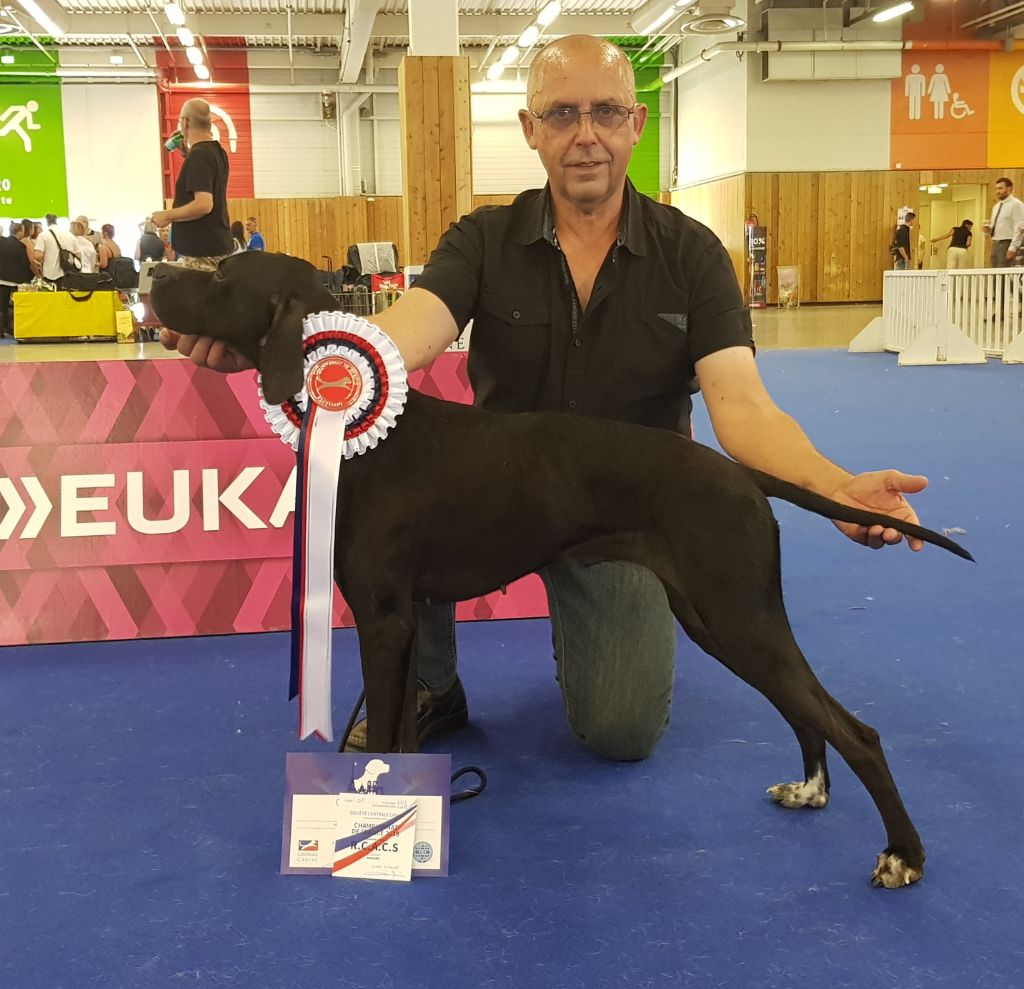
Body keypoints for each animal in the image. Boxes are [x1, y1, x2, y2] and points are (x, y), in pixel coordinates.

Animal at [148, 253, 970, 888]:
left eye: (220, 274)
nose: (152, 272)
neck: (361, 436)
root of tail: (741, 474)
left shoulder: (380, 621)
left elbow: (383, 733)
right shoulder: (404, 620)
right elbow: (403, 738)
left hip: (739, 617)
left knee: (856, 729)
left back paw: (904, 854)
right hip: (722, 620)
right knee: (806, 710)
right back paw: (810, 790)